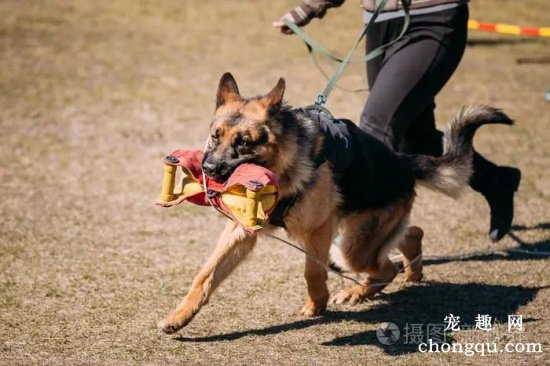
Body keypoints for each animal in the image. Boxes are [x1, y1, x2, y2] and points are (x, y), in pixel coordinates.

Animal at [157, 73, 516, 334]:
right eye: (215, 136)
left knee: (385, 265)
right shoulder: (240, 231)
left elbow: (312, 271)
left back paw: (360, 291)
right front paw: (179, 316)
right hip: (357, 236)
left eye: (243, 143)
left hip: (348, 247)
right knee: (410, 234)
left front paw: (316, 305)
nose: (208, 169)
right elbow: (205, 276)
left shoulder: (318, 229)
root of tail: (403, 161)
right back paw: (408, 273)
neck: (283, 165)